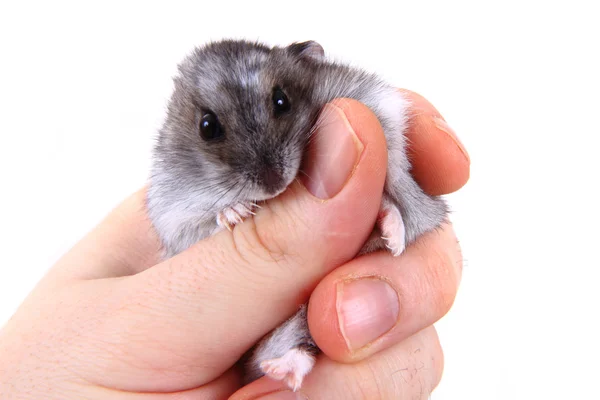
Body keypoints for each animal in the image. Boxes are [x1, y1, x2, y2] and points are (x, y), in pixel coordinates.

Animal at [144, 39, 446, 390]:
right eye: (207, 127)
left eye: (281, 100)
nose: (274, 183)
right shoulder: (174, 217)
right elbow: (206, 222)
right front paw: (235, 212)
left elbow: (394, 196)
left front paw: (392, 232)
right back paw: (280, 370)